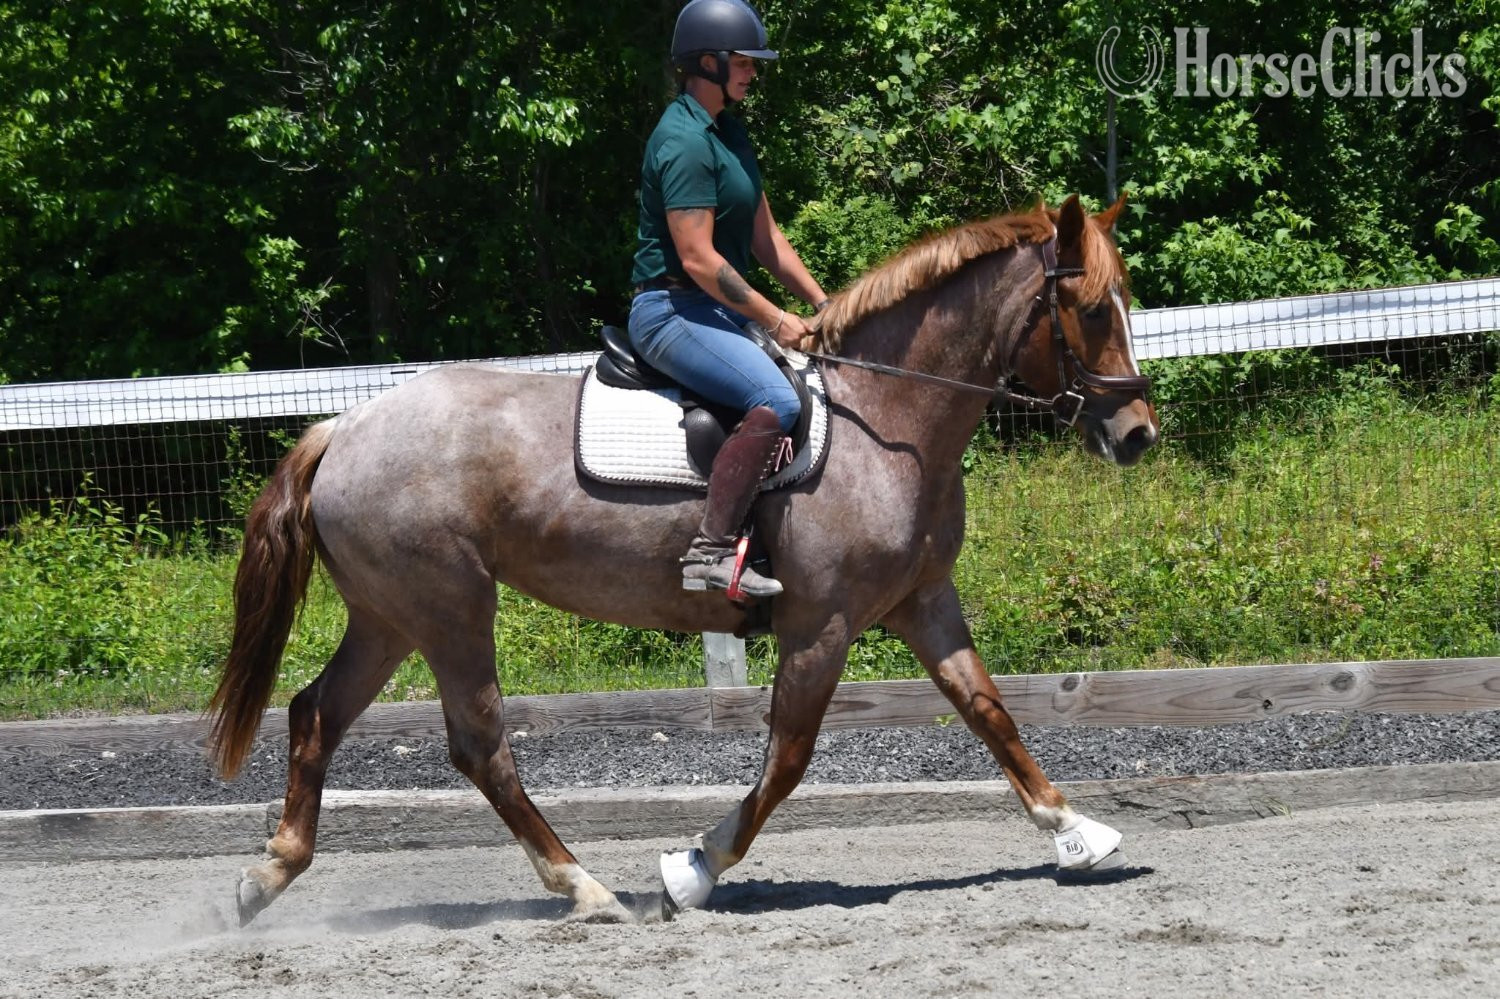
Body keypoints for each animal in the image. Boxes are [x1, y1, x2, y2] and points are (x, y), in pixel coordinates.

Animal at [209, 194, 1158, 925]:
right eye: (1094, 310)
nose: (1137, 434)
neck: (887, 416)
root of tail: (344, 428)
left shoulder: (923, 600)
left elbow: (989, 711)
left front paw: (1075, 830)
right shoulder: (821, 623)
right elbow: (788, 758)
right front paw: (690, 870)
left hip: (390, 615)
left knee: (316, 714)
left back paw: (268, 874)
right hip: (449, 608)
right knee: (480, 746)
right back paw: (586, 888)